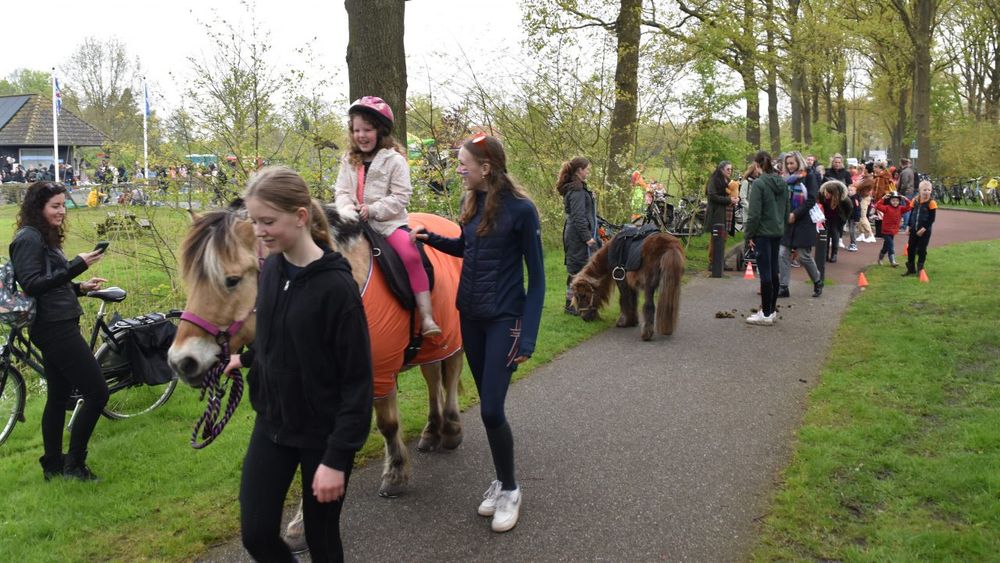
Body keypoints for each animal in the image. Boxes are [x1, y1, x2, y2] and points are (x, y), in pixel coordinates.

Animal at [167, 204, 464, 498]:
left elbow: (388, 424)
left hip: (453, 338)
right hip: (428, 349)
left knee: (450, 376)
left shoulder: (377, 372)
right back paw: (432, 431)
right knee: (433, 378)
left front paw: (395, 473)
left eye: (232, 280)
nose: (181, 361)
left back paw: (450, 428)